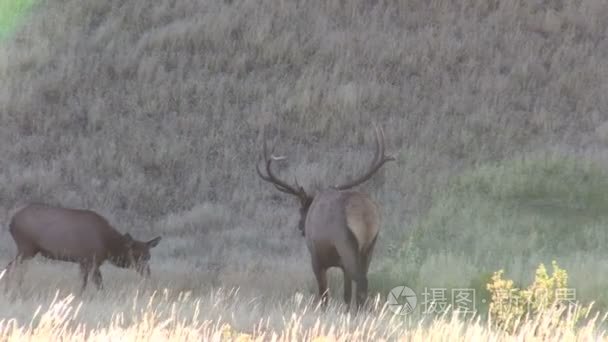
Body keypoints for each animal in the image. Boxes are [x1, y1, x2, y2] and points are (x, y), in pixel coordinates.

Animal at [1, 203, 162, 294]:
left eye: (148, 256)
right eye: (135, 255)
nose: (148, 273)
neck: (108, 245)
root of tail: (11, 222)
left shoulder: (88, 261)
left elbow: (96, 283)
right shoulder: (89, 259)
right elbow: (90, 283)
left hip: (28, 250)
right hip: (25, 247)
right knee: (11, 267)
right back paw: (9, 290)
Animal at [255, 125, 394, 310]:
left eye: (301, 210)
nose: (300, 226)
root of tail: (366, 215)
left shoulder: (316, 258)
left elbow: (323, 295)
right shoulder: (342, 265)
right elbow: (346, 296)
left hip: (346, 244)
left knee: (361, 281)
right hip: (370, 246)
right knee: (362, 283)